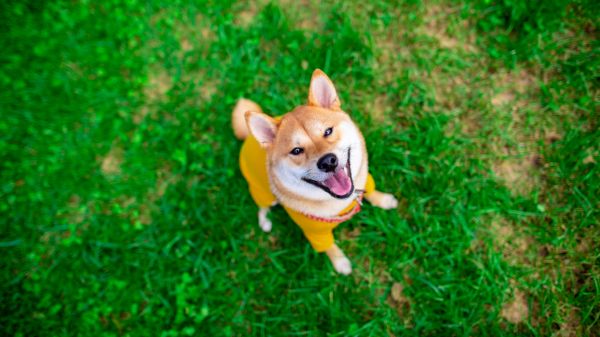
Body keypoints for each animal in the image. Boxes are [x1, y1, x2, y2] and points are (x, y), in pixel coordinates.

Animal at [231, 69, 398, 274]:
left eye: (328, 131)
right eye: (296, 150)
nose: (328, 162)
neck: (341, 202)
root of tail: (249, 137)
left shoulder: (365, 180)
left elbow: (372, 192)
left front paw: (384, 200)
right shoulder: (315, 234)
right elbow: (330, 248)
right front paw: (340, 263)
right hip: (263, 193)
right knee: (262, 207)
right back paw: (265, 221)